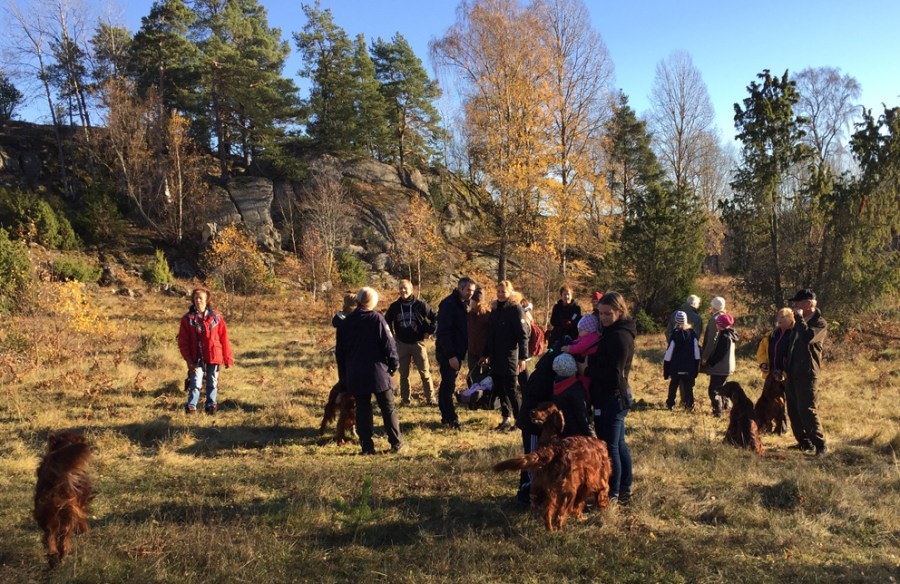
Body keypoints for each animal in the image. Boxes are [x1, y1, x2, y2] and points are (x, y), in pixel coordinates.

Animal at [34, 431, 93, 567]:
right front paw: (85, 531)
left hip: (48, 512)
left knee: (51, 537)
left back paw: (54, 559)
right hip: (67, 511)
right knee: (63, 538)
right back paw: (60, 557)